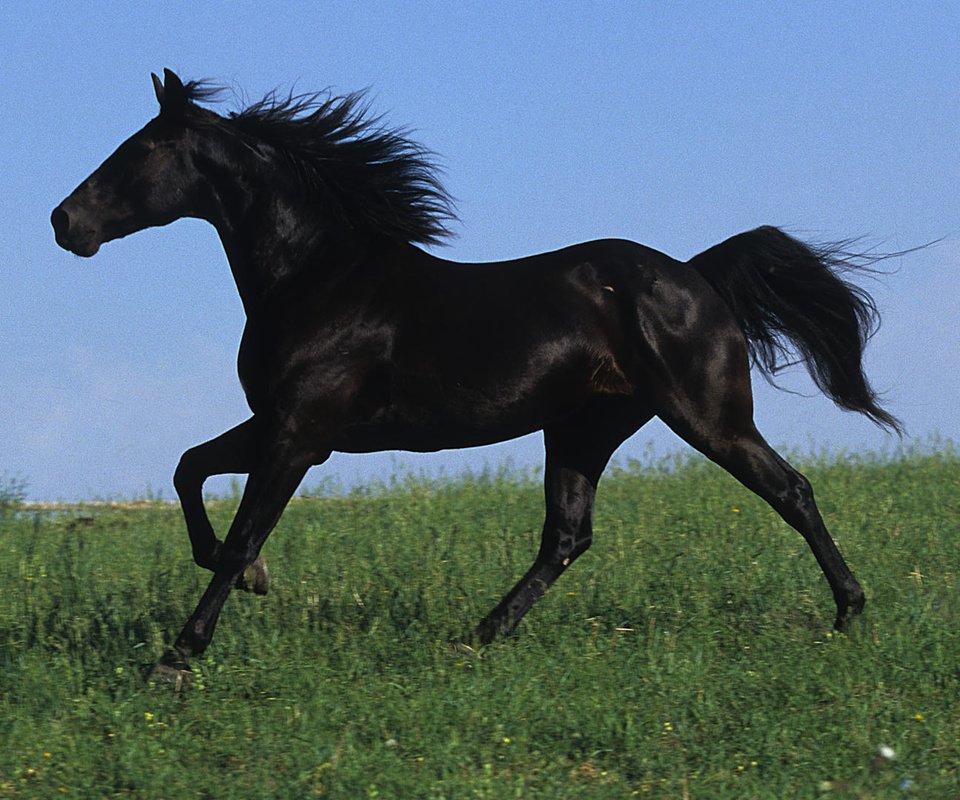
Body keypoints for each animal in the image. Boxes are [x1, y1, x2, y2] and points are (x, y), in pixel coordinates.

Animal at [52, 70, 900, 680]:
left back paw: (850, 611)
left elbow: (237, 532)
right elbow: (189, 469)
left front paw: (179, 655)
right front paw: (256, 581)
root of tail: (698, 275)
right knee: (566, 537)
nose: (65, 223)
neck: (316, 277)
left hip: (708, 417)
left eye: (140, 151)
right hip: (583, 428)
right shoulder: (284, 427)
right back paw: (479, 637)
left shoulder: (298, 434)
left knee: (790, 491)